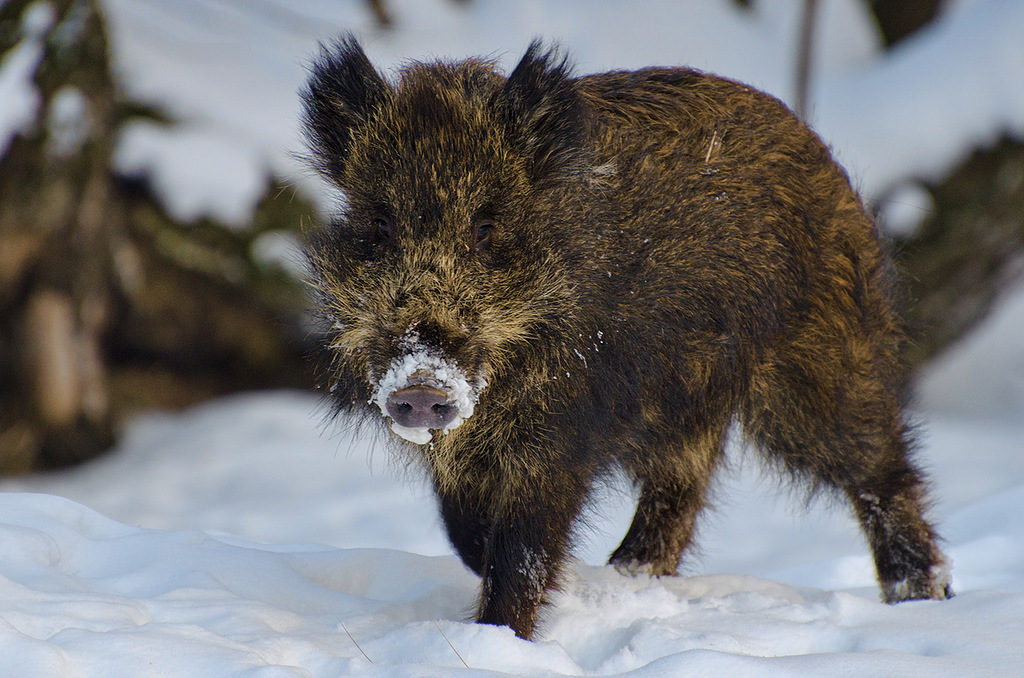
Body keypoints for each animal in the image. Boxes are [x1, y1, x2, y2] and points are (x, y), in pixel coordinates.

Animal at [301, 35, 952, 640]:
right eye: (380, 223)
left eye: (486, 226)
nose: (421, 386)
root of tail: (826, 163)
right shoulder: (460, 457)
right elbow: (467, 533)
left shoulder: (562, 429)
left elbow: (523, 550)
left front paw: (500, 635)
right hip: (688, 403)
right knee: (684, 487)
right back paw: (628, 578)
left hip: (812, 368)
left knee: (881, 469)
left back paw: (923, 596)